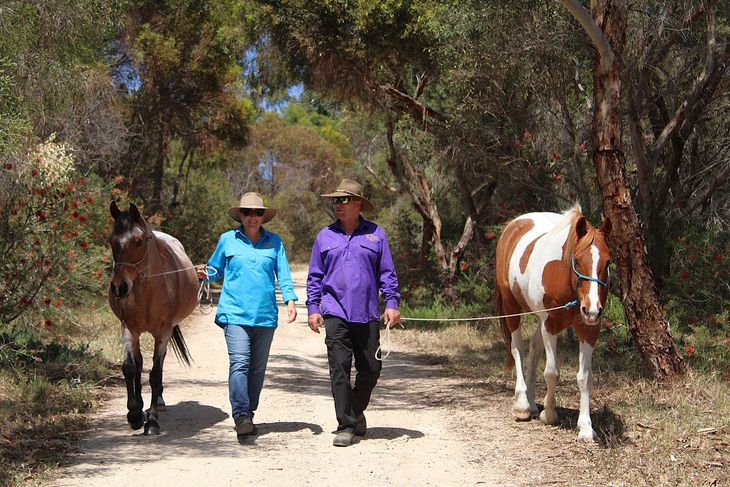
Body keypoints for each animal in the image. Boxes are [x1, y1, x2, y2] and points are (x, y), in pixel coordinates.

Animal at [106, 201, 198, 434]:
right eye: (111, 241)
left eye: (138, 242)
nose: (119, 287)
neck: (147, 291)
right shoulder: (128, 328)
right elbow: (130, 368)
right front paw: (134, 414)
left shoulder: (163, 332)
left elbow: (155, 374)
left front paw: (153, 421)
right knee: (139, 364)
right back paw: (140, 407)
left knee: (160, 365)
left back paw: (158, 403)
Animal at [494, 206, 608, 442]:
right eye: (578, 261)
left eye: (609, 262)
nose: (592, 309)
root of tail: (513, 225)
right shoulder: (551, 325)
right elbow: (552, 372)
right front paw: (549, 413)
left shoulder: (589, 329)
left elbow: (585, 377)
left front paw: (585, 426)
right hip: (512, 308)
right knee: (518, 349)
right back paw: (522, 404)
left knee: (535, 348)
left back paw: (530, 401)